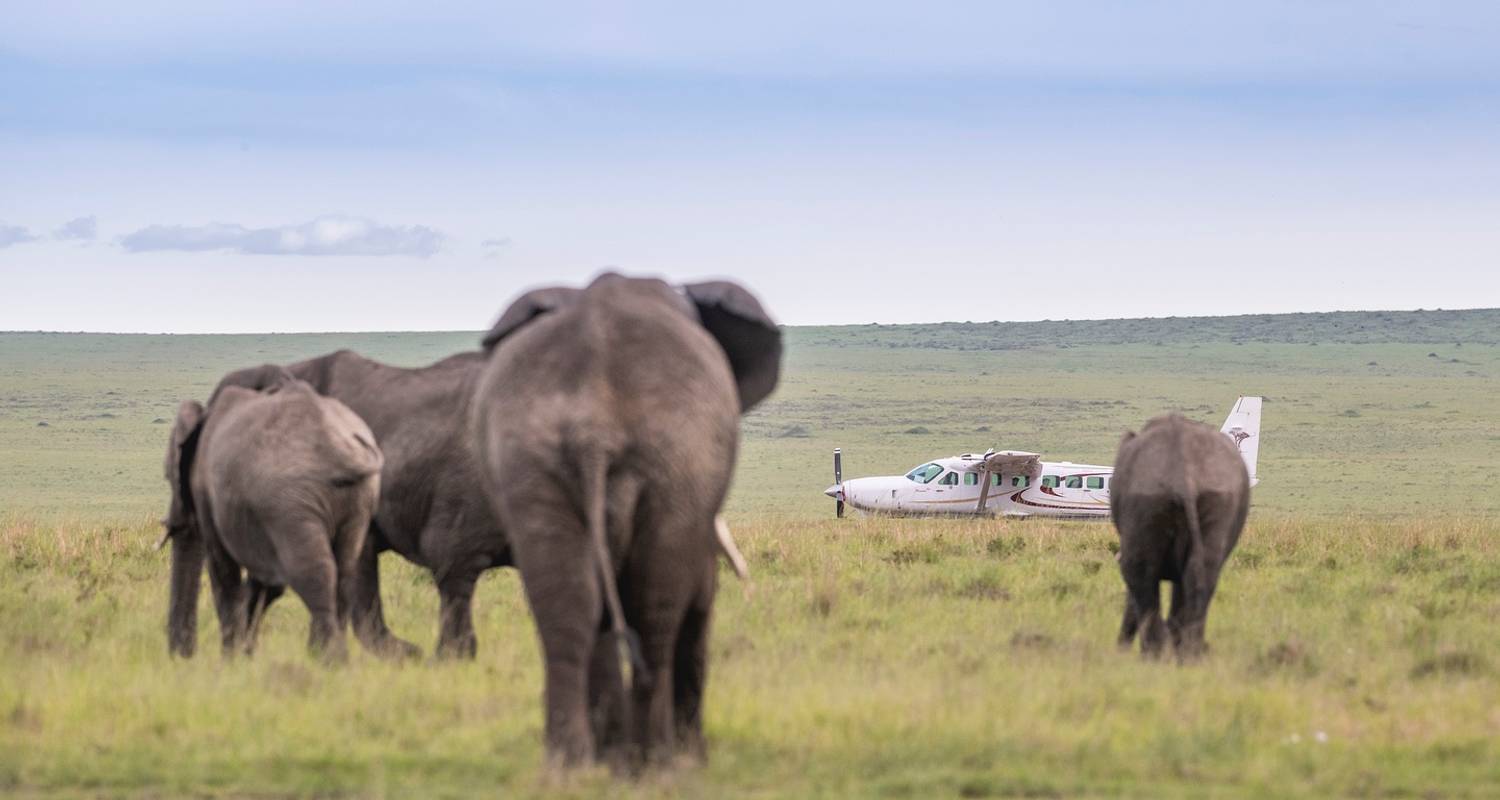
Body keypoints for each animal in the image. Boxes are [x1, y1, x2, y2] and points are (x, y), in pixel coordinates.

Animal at [162, 373, 384, 660]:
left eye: (168, 475)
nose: (183, 658)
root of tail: (342, 451)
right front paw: (245, 655)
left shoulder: (208, 495)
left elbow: (223, 570)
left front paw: (230, 660)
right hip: (359, 500)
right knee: (345, 572)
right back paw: (328, 655)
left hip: (293, 499)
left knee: (313, 571)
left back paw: (329, 660)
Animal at [471, 273, 780, 768]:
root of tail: (594, 421)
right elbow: (697, 601)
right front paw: (690, 753)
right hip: (676, 459)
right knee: (656, 606)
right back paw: (654, 762)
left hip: (529, 458)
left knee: (568, 603)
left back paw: (573, 764)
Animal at [1110, 411, 1248, 660]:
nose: (1121, 647)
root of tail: (1183, 469)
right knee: (1199, 578)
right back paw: (1189, 653)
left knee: (1139, 575)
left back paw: (1155, 656)